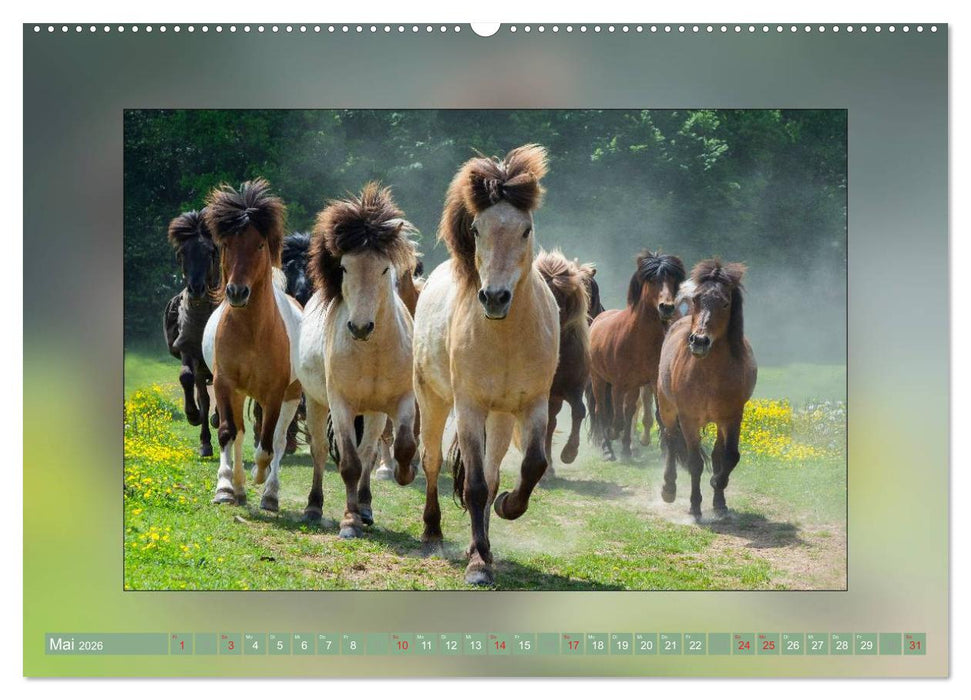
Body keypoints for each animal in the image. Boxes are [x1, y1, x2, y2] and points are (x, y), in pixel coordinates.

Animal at [201, 178, 303, 512]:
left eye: (259, 245)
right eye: (227, 245)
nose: (236, 292)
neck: (252, 332)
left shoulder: (274, 394)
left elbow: (268, 446)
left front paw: (261, 478)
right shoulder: (224, 384)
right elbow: (227, 434)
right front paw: (224, 488)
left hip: (291, 396)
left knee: (279, 440)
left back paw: (269, 493)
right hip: (238, 392)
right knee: (241, 434)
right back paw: (240, 488)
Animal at [297, 183, 419, 536]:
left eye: (384, 268)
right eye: (345, 267)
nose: (361, 327)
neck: (372, 353)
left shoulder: (402, 400)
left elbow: (402, 446)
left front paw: (404, 474)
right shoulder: (341, 405)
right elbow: (349, 464)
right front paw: (349, 521)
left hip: (375, 412)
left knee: (368, 453)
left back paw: (365, 506)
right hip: (316, 402)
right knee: (320, 451)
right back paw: (314, 507)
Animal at [413, 144, 559, 586]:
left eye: (526, 230)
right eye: (477, 230)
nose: (494, 298)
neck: (507, 338)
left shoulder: (533, 405)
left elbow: (531, 465)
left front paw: (508, 507)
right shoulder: (469, 407)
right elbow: (475, 487)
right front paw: (477, 564)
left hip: (500, 417)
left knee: (494, 474)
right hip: (434, 401)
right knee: (431, 462)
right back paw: (432, 532)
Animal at [588, 250, 686, 461]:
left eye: (673, 280)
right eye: (653, 280)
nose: (667, 307)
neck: (637, 338)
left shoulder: (653, 382)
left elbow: (653, 415)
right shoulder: (618, 384)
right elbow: (616, 418)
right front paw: (613, 435)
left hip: (632, 386)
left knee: (629, 410)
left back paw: (625, 449)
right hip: (598, 379)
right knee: (602, 410)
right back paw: (608, 448)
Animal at [656, 259, 757, 519]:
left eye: (725, 302)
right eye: (697, 299)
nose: (699, 341)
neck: (710, 374)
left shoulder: (732, 417)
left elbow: (729, 456)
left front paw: (717, 488)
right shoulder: (689, 419)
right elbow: (695, 463)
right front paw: (694, 506)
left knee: (717, 453)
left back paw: (719, 501)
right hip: (667, 408)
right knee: (671, 441)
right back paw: (668, 489)